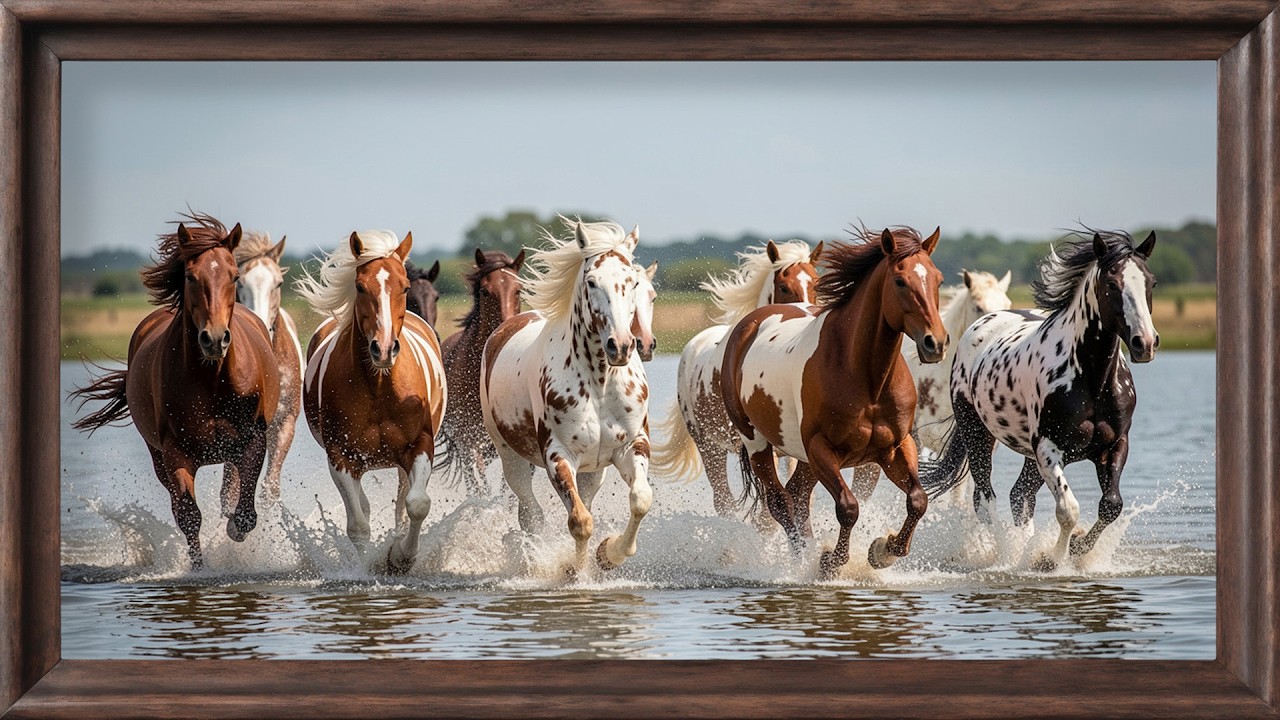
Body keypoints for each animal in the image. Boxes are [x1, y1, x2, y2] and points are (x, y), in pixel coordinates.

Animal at [71, 212, 280, 568]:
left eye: (234, 276)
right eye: (190, 276)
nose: (214, 339)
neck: (213, 381)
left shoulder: (253, 439)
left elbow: (245, 513)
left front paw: (235, 530)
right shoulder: (174, 453)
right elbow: (189, 515)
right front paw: (198, 568)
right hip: (158, 458)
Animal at [297, 230, 447, 574]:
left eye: (404, 287)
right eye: (360, 286)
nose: (384, 348)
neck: (379, 387)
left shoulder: (420, 445)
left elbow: (417, 505)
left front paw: (401, 558)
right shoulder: (341, 456)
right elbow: (358, 525)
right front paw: (368, 567)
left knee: (403, 502)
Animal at [480, 219, 652, 572]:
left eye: (633, 281)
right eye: (591, 282)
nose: (620, 346)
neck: (599, 385)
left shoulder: (630, 445)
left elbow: (640, 500)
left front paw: (609, 553)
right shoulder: (557, 455)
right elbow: (580, 522)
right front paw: (573, 570)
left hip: (593, 470)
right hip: (511, 458)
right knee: (531, 514)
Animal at [720, 226, 947, 576]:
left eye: (937, 279)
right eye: (899, 281)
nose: (935, 342)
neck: (865, 377)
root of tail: (747, 326)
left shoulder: (896, 447)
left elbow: (918, 500)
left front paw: (884, 550)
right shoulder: (821, 449)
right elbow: (848, 507)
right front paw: (830, 562)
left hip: (803, 458)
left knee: (798, 497)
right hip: (757, 442)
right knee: (781, 502)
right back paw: (802, 557)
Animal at [919, 230, 1158, 569]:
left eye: (1151, 282)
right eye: (1112, 284)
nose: (1145, 343)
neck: (1093, 381)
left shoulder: (1114, 445)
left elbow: (1111, 505)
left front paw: (1077, 548)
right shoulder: (1049, 449)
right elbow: (1068, 510)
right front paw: (1049, 559)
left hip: (1027, 456)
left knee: (1019, 495)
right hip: (978, 435)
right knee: (986, 499)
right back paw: (1007, 554)